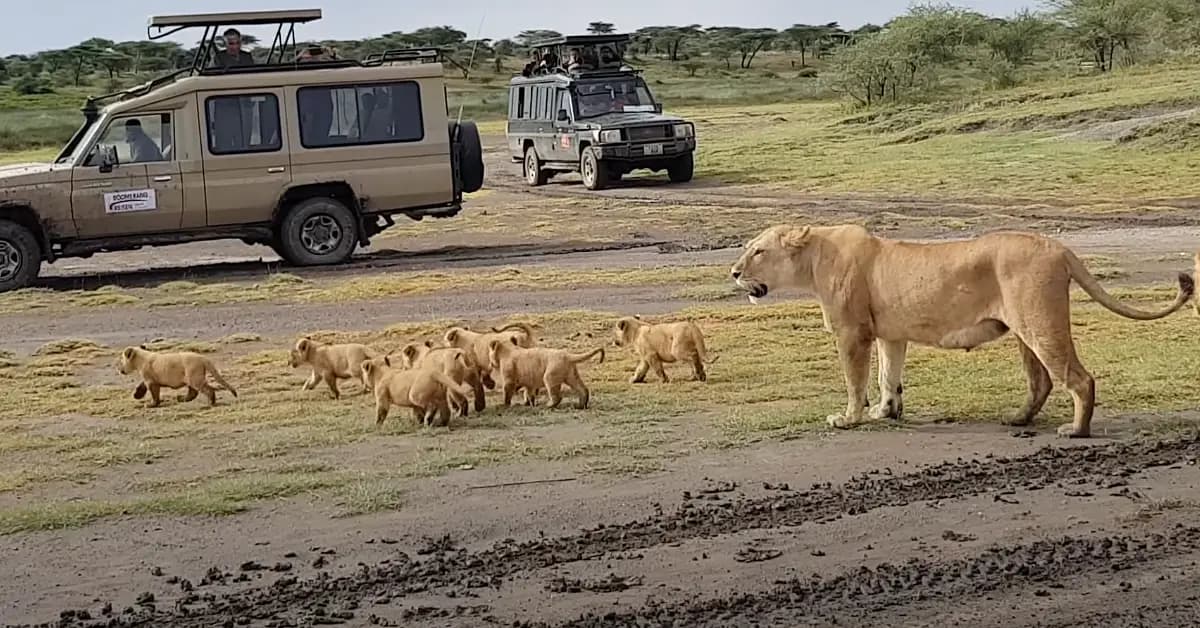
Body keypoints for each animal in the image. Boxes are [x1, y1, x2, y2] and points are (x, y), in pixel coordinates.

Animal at [729, 224, 1190, 437]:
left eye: (758, 251)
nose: (733, 272)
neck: (814, 258)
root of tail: (1058, 246)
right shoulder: (891, 334)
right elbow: (888, 377)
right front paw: (887, 412)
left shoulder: (852, 333)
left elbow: (856, 382)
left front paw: (848, 419)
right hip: (1024, 329)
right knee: (1040, 381)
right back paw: (1017, 419)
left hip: (1039, 323)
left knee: (1079, 378)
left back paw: (1076, 431)